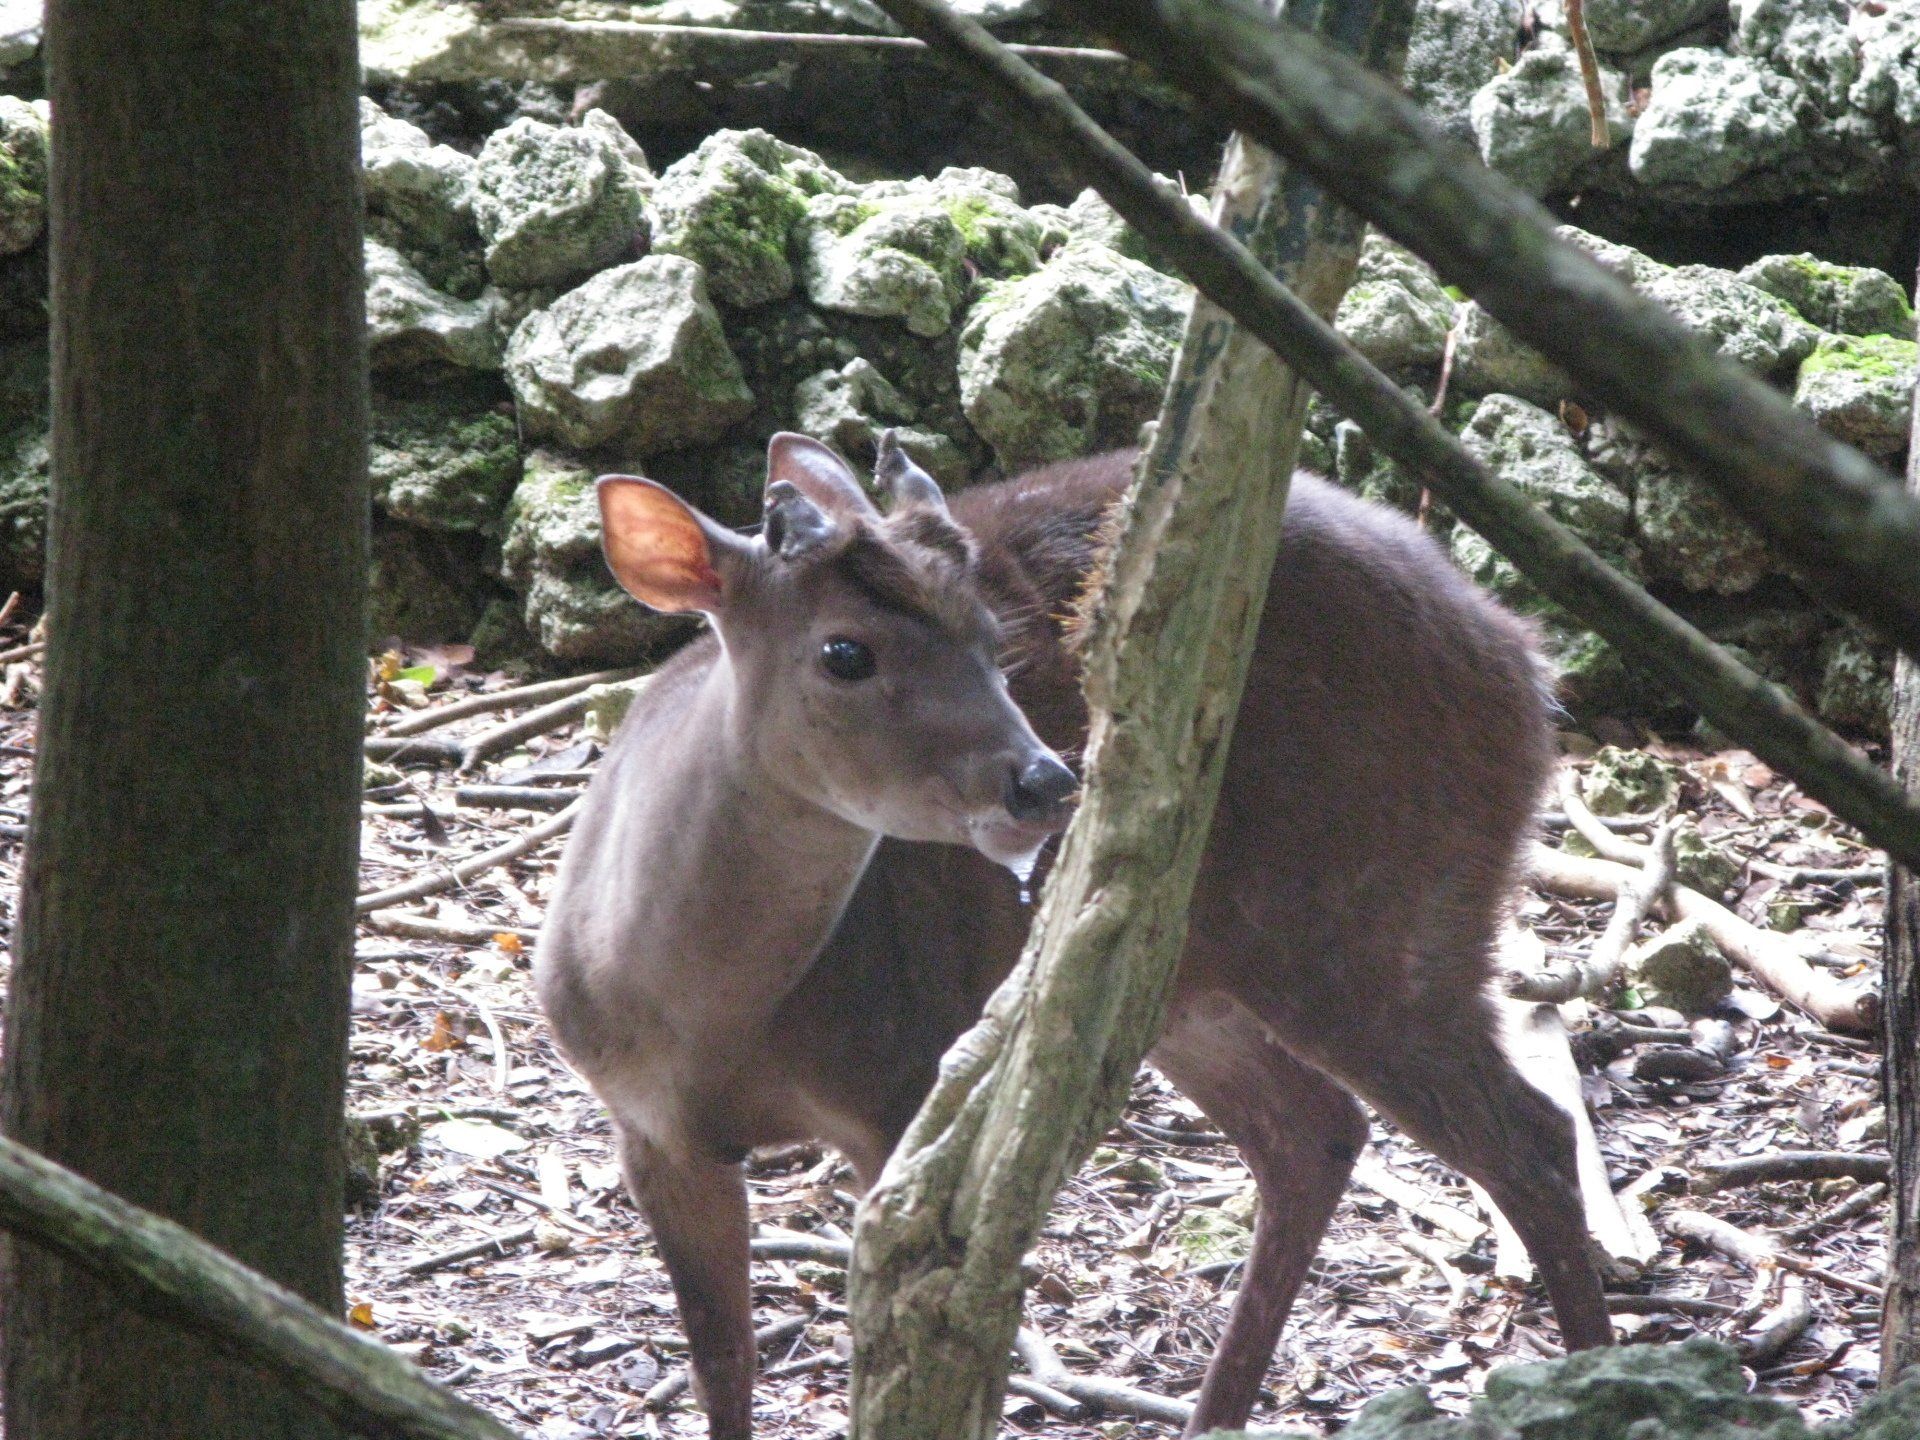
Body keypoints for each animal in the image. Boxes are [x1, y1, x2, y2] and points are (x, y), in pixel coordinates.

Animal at [535, 429, 1612, 1440]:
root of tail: (1527, 664)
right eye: (845, 651)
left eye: (990, 636)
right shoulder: (649, 1132)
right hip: (1182, 972)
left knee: (1526, 1133)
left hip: (1376, 916)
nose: (1045, 780)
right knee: (1314, 1131)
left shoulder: (902, 1079)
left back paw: (1595, 1372)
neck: (707, 1018)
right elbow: (722, 1367)